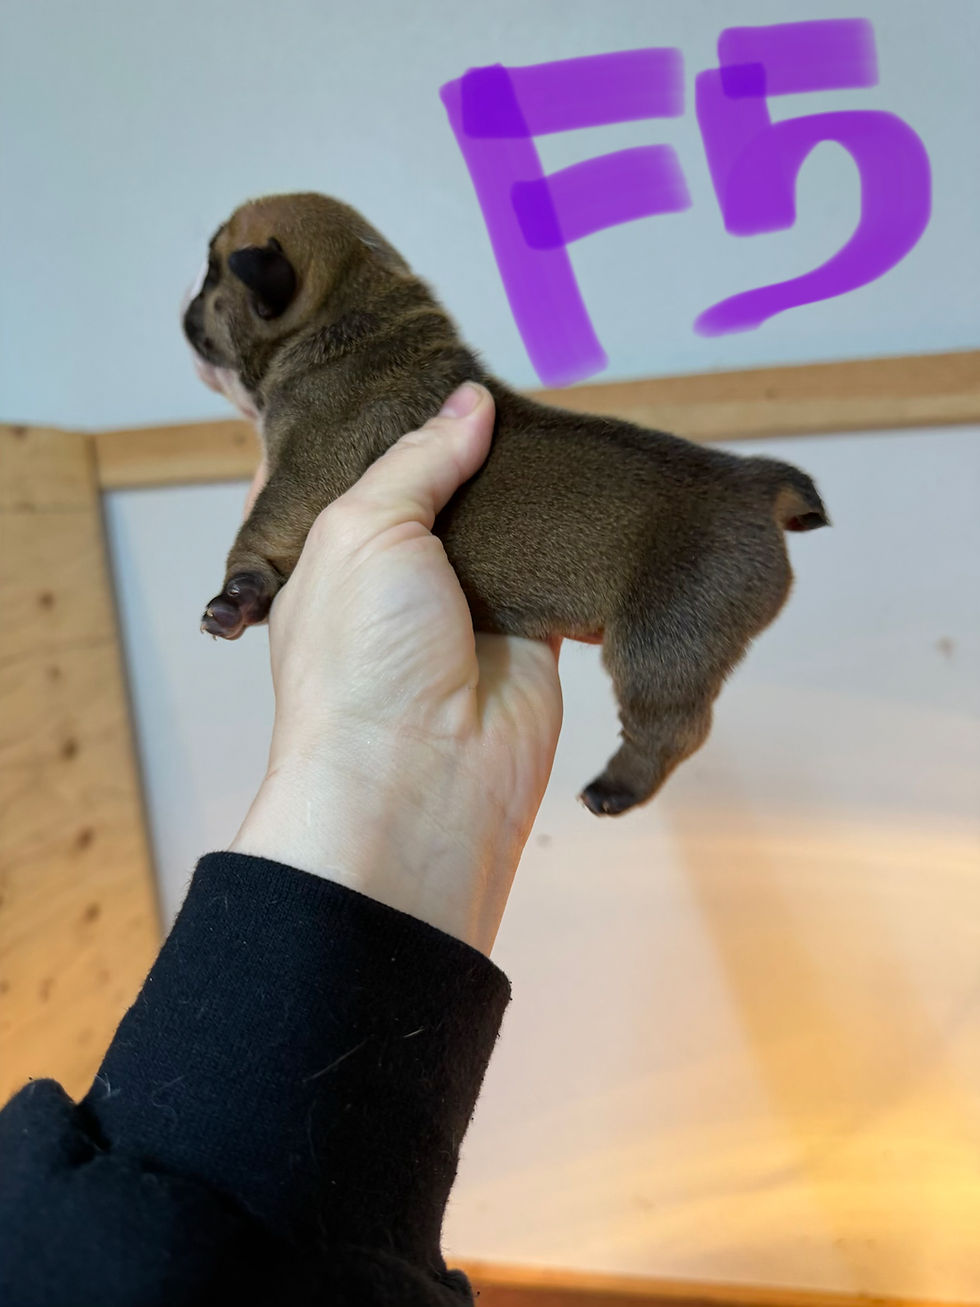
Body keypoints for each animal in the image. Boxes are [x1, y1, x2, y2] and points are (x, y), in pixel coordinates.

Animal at [183, 192, 828, 815]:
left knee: (670, 727)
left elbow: (266, 526)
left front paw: (235, 598)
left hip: (668, 639)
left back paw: (616, 788)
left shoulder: (307, 470)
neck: (354, 313)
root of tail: (758, 483)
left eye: (212, 272)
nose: (184, 310)